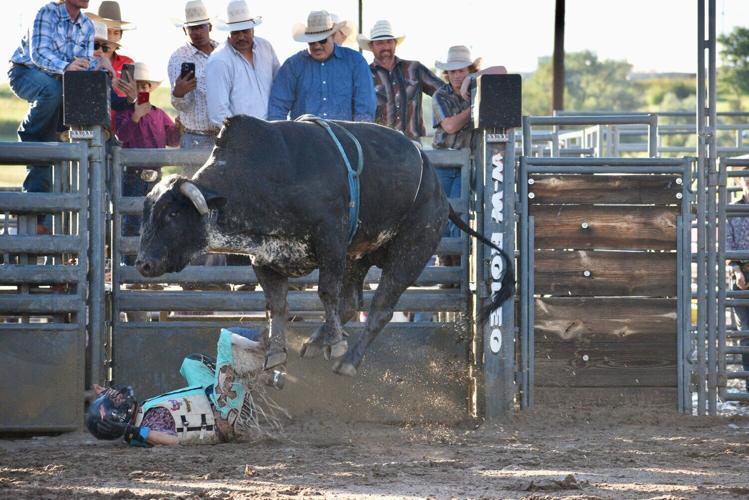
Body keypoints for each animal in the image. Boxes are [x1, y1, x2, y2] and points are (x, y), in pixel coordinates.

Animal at [135, 115, 512, 377]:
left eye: (172, 213)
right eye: (147, 211)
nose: (143, 264)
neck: (263, 176)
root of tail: (440, 196)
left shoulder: (329, 240)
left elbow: (326, 292)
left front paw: (337, 344)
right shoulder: (265, 258)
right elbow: (277, 305)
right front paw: (276, 354)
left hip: (412, 250)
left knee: (380, 308)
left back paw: (348, 359)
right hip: (359, 255)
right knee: (352, 302)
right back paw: (316, 342)